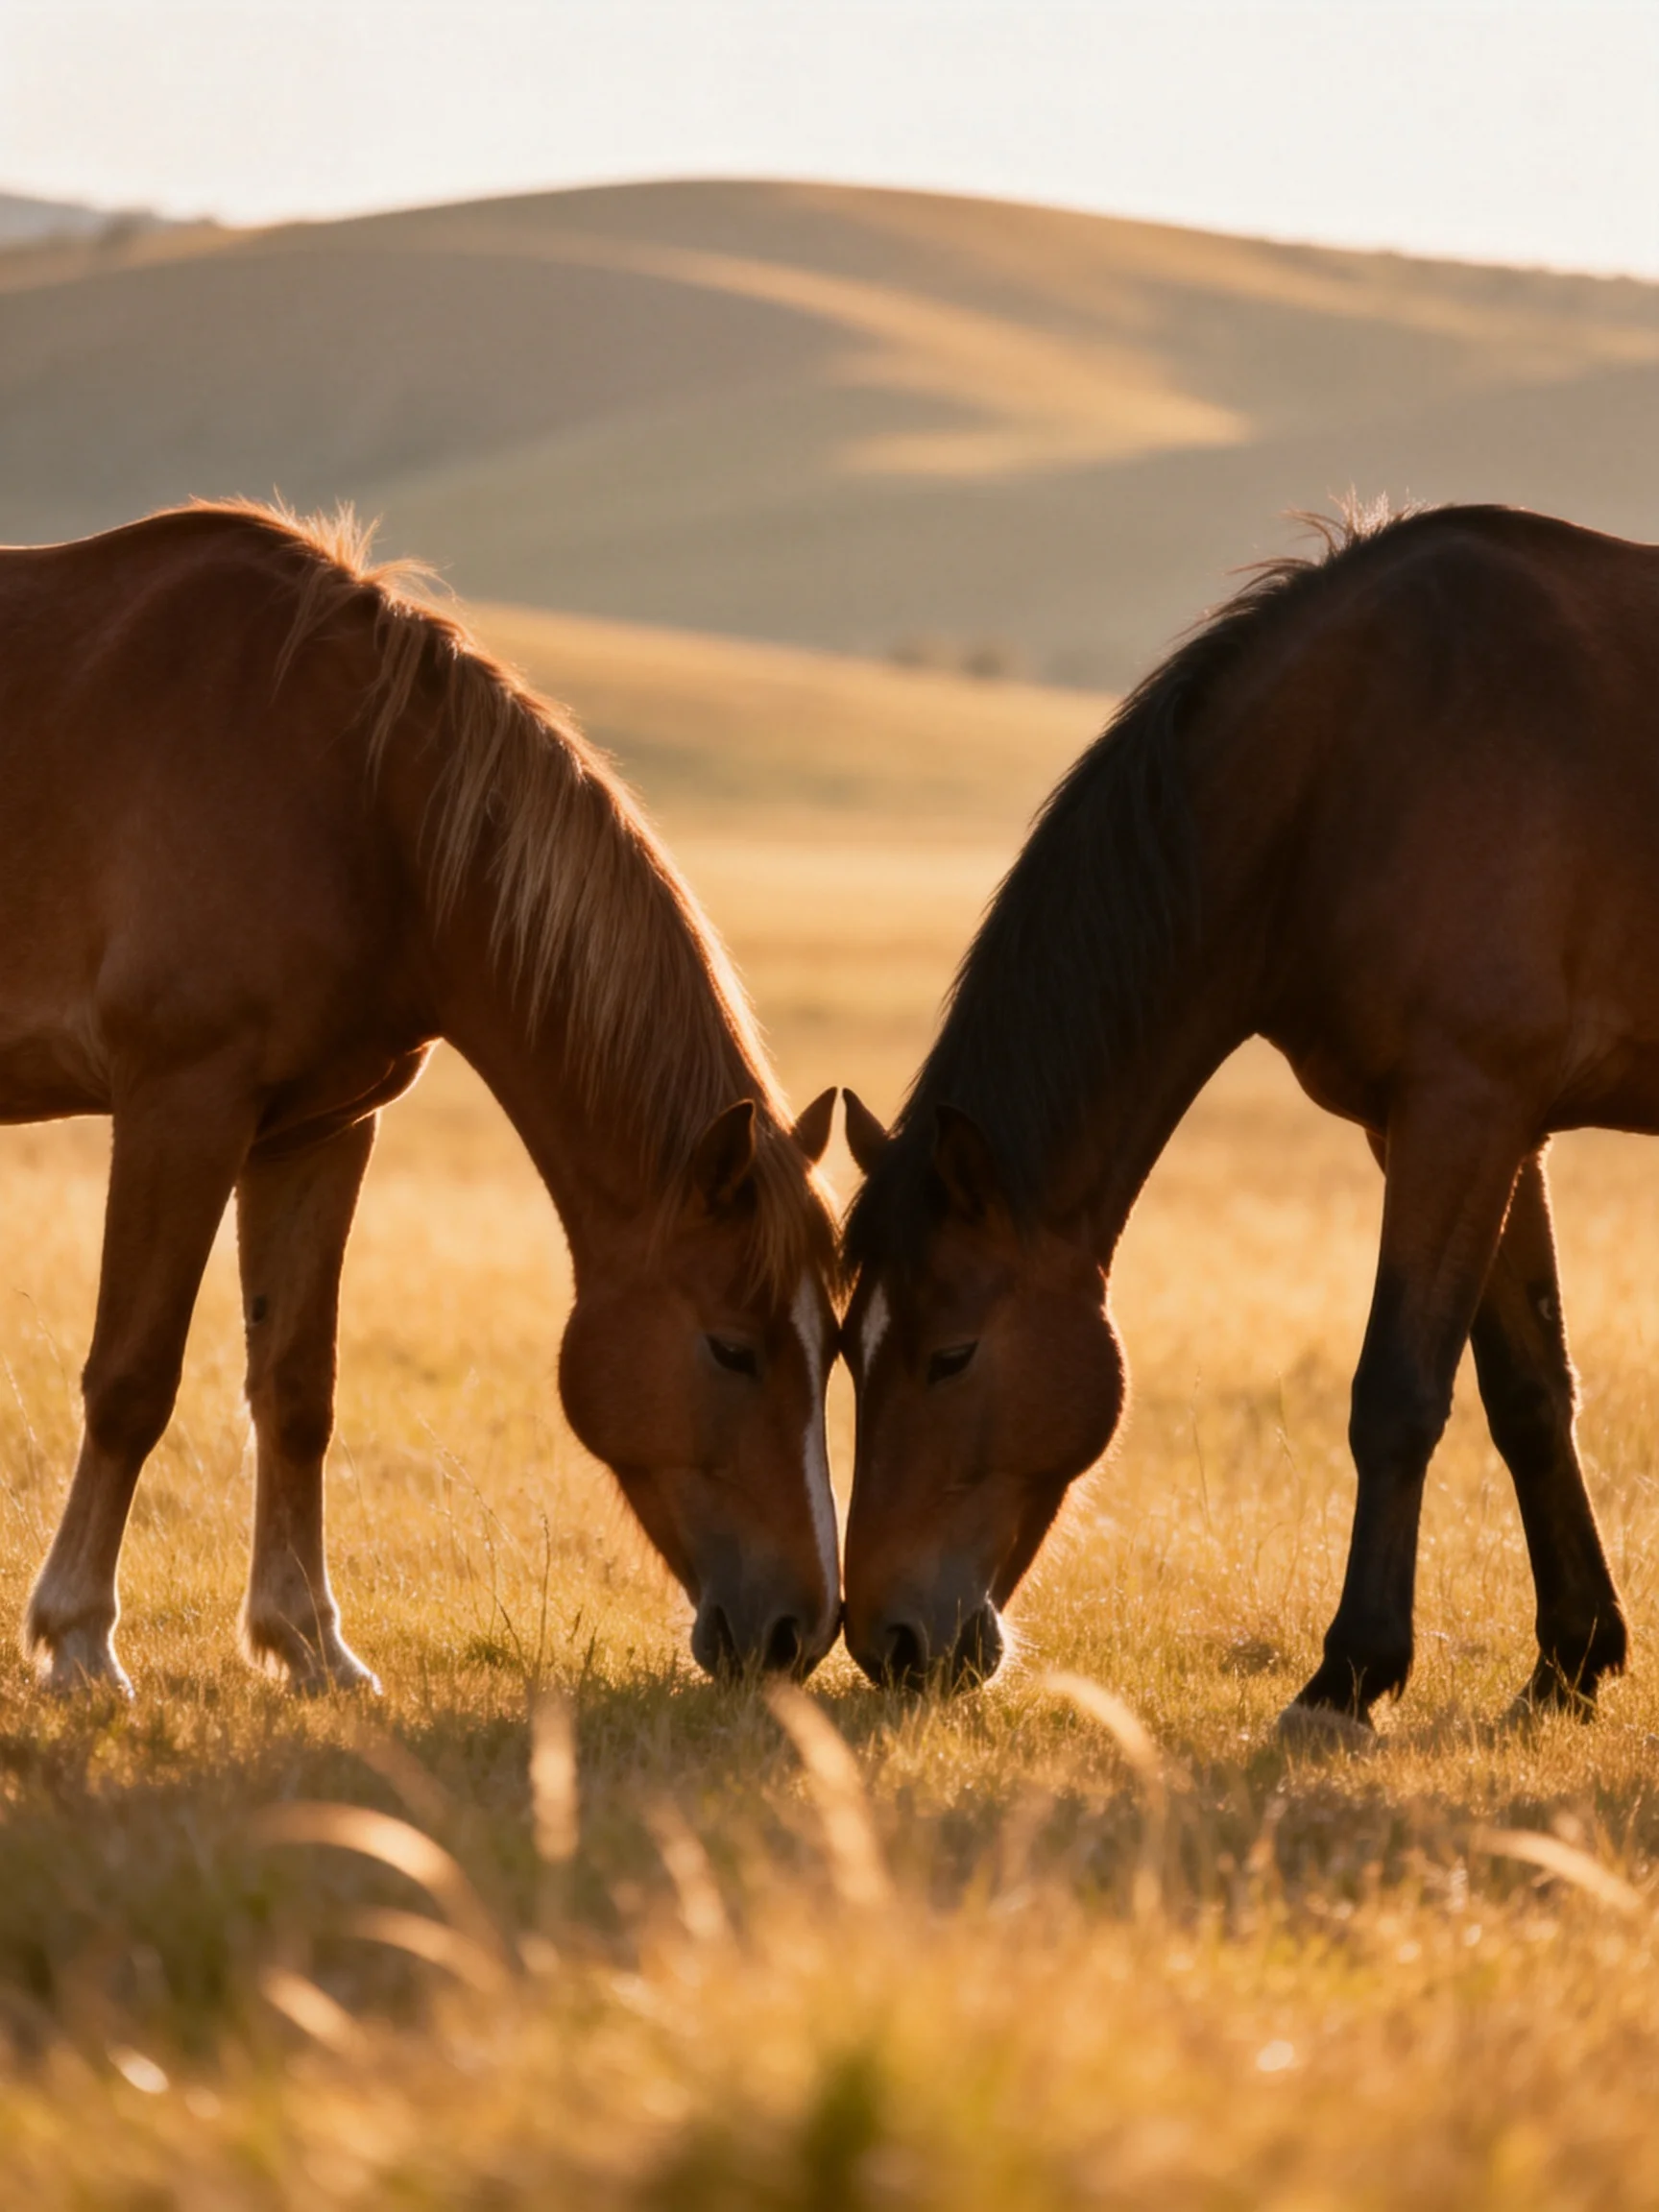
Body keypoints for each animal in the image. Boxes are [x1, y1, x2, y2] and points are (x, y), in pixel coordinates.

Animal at [0, 500, 842, 1696]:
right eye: (732, 1348)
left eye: (834, 1347)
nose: (802, 1632)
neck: (355, 793)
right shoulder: (181, 1105)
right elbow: (132, 1377)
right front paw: (76, 1639)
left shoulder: (318, 1130)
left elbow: (296, 1388)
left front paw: (306, 1640)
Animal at [839, 502, 1659, 1729]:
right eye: (851, 1349)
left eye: (953, 1356)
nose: (885, 1641)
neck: (1356, 760)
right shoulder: (1479, 1124)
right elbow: (1529, 1395)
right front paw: (1573, 1657)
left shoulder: (1462, 1114)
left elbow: (1397, 1395)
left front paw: (1352, 1673)